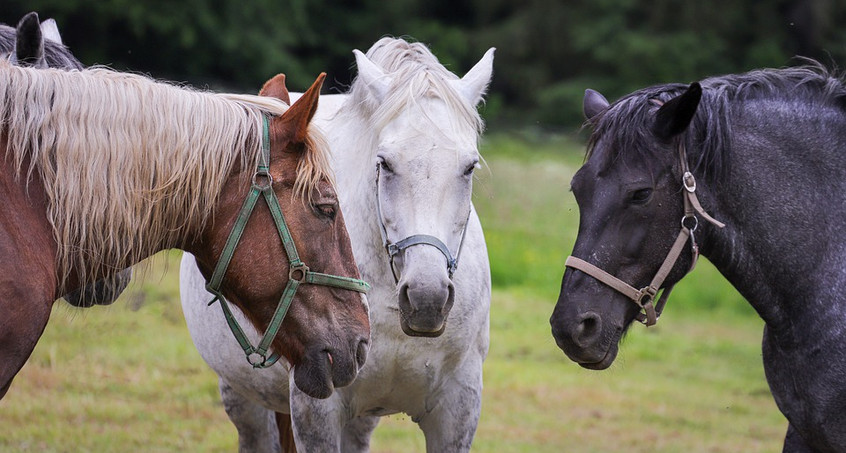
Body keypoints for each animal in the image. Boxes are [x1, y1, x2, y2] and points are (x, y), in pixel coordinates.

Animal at [181, 37, 496, 450]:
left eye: (469, 166)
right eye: (385, 163)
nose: (426, 299)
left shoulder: (457, 409)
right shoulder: (318, 408)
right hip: (243, 397)